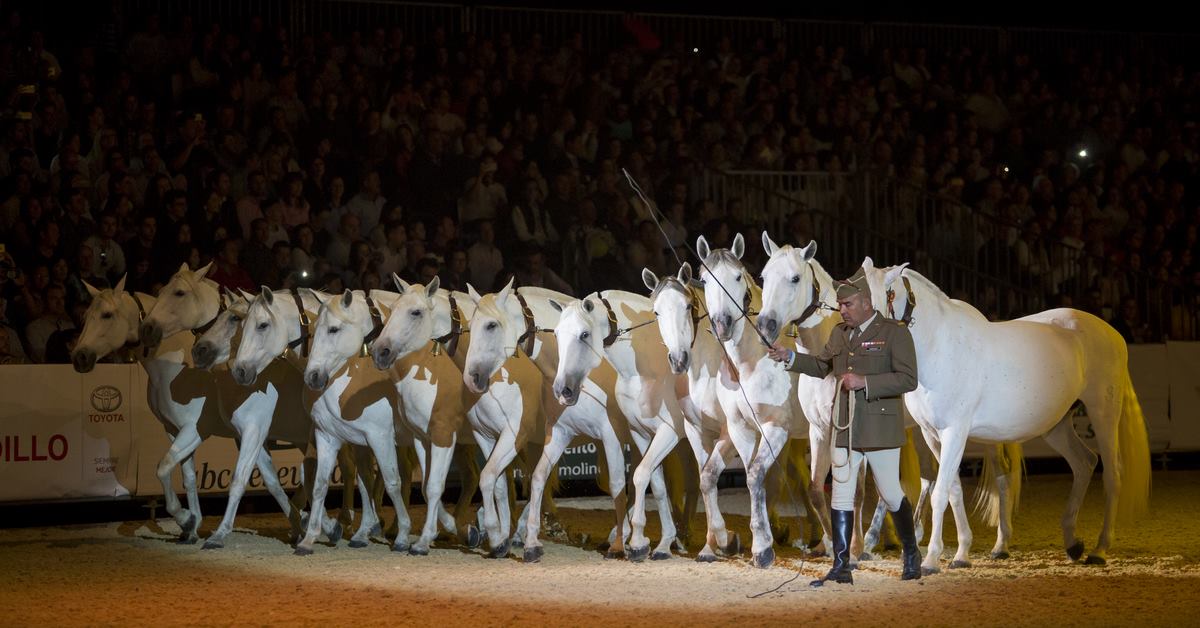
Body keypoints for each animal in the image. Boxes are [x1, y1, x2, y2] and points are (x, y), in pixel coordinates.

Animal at [859, 258, 1151, 570]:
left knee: (1112, 474)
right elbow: (952, 489)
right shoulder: (931, 434)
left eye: (881, 296)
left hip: (1103, 412)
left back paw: (1099, 549)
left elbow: (940, 492)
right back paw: (1072, 543)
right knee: (1084, 462)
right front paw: (961, 554)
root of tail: (1114, 334)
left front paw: (932, 558)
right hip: (1057, 425)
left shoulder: (955, 432)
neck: (940, 347)